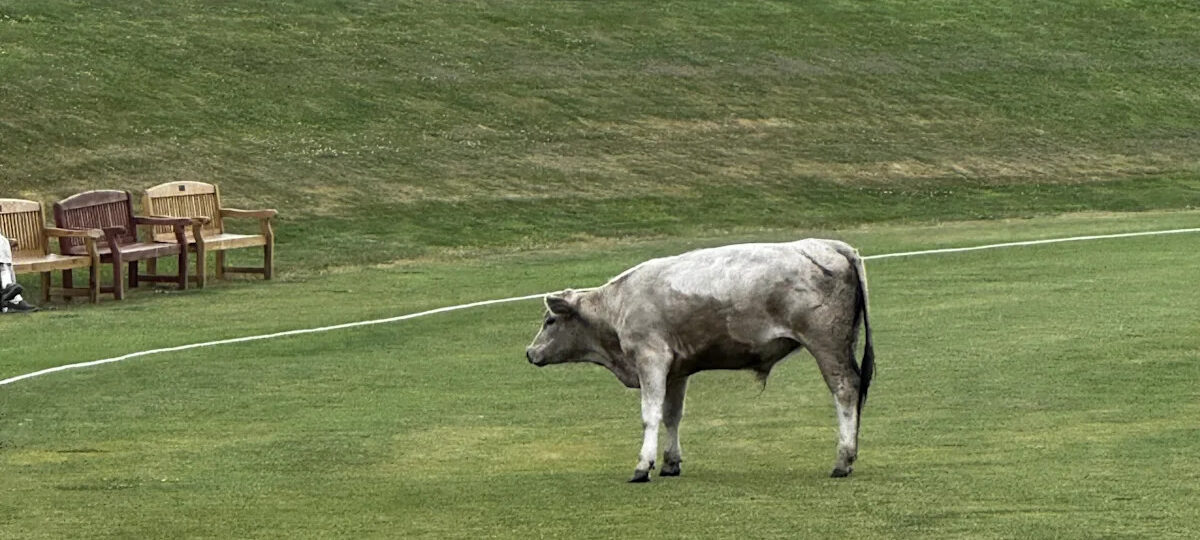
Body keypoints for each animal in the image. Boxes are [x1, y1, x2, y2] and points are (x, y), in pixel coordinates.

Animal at [525, 239, 874, 482]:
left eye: (550, 321)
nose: (529, 352)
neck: (618, 304)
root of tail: (828, 245)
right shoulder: (676, 371)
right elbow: (672, 416)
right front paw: (670, 462)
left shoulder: (651, 359)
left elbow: (650, 415)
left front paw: (643, 464)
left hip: (826, 345)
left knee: (845, 391)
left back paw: (843, 459)